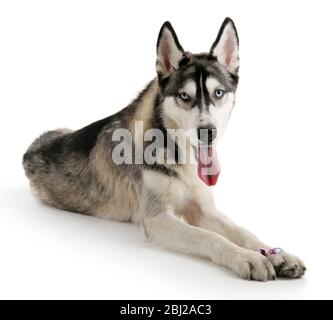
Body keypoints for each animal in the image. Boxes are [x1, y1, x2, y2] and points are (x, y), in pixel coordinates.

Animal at [22, 18, 304, 282]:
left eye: (218, 93)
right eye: (184, 96)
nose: (207, 131)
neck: (180, 157)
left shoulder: (203, 209)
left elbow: (242, 231)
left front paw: (276, 254)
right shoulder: (158, 219)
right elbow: (210, 237)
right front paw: (247, 257)